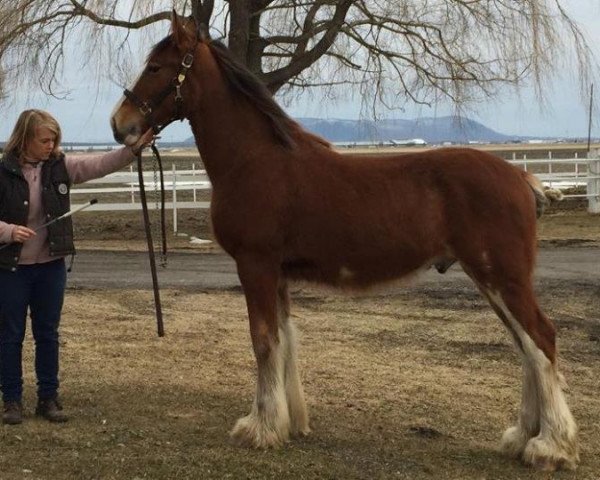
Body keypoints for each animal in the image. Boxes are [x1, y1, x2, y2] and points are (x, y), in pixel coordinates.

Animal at [110, 13, 580, 470]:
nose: (119, 124)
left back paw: (550, 447)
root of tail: (520, 176)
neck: (255, 160)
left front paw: (259, 429)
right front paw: (288, 423)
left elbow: (263, 341)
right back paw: (522, 438)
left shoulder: (255, 265)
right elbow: (285, 340)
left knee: (540, 340)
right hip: (490, 279)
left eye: (156, 67)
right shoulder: (277, 275)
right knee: (525, 347)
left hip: (501, 276)